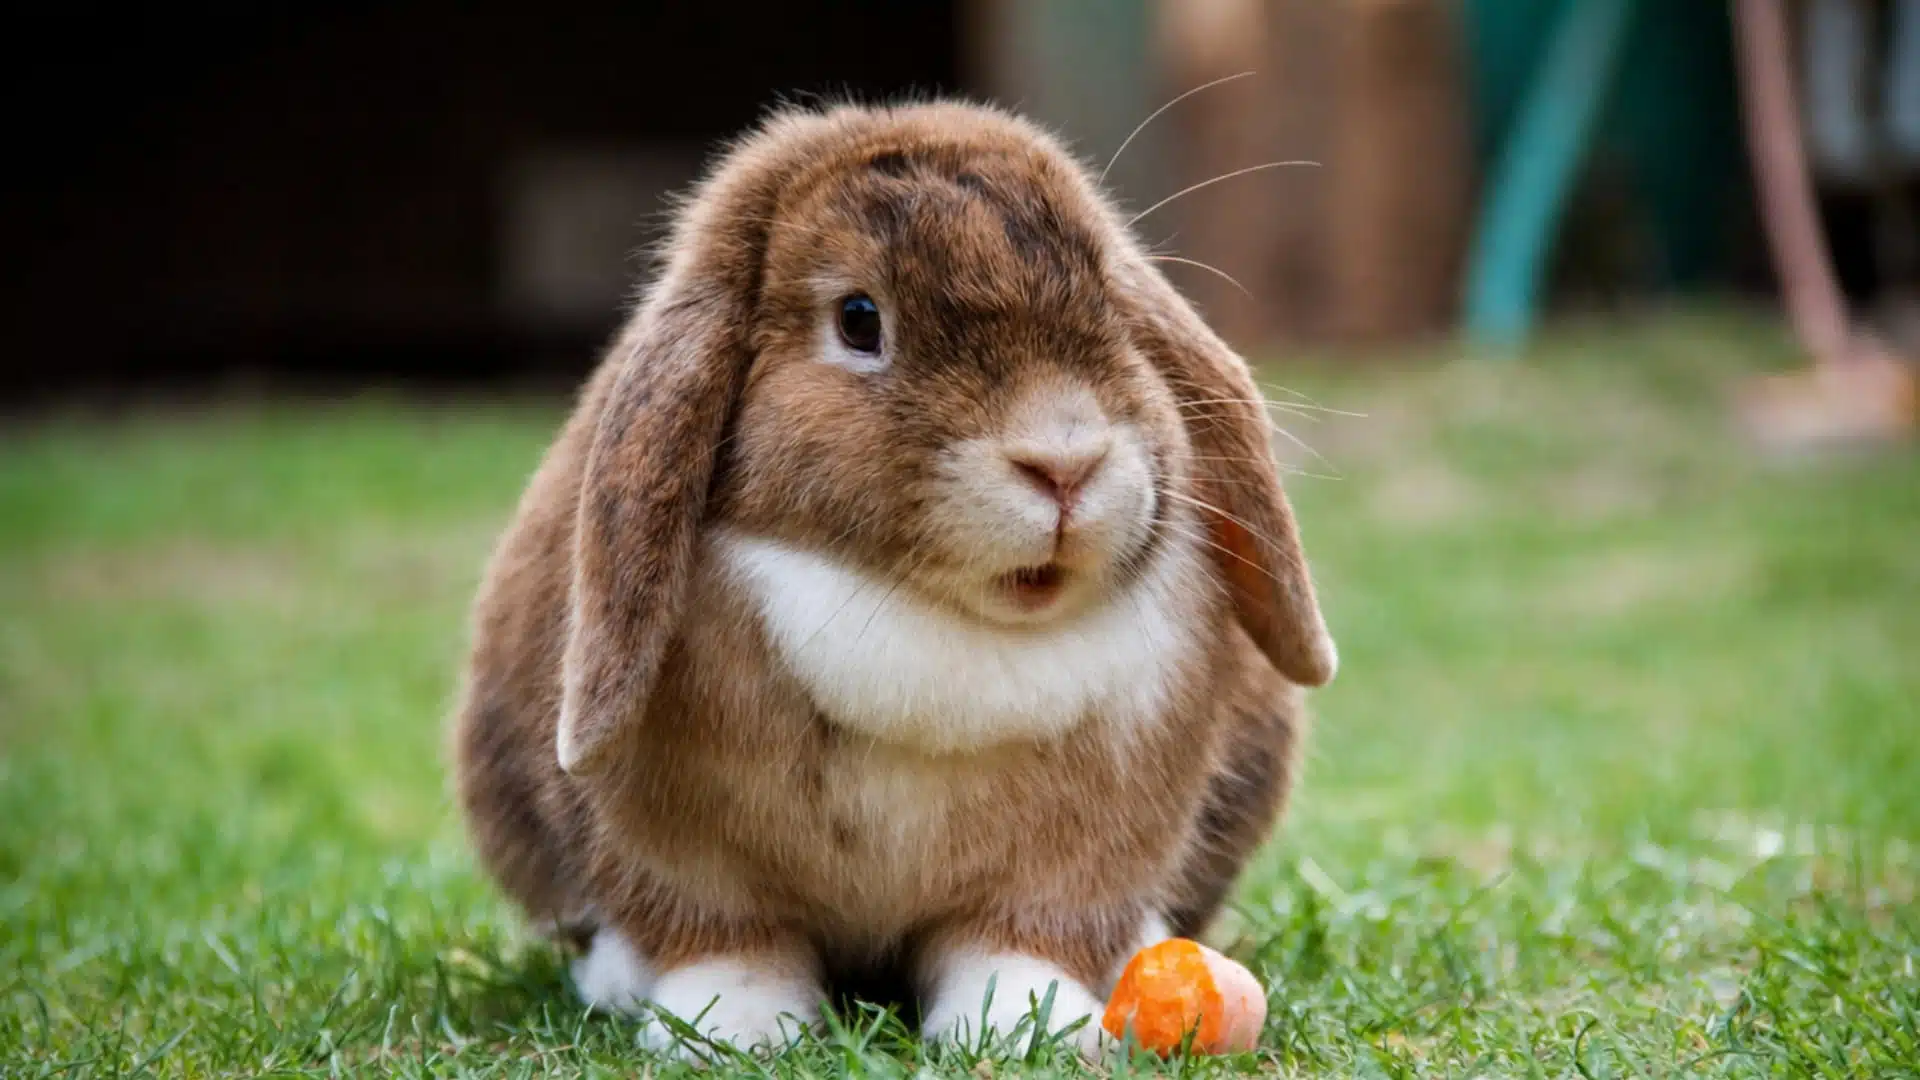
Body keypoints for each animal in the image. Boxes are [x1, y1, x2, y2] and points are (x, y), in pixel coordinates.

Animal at [451, 99, 1337, 1061]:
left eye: (1108, 297)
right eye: (858, 319)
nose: (1065, 462)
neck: (933, 617)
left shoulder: (1078, 858)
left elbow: (1020, 940)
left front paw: (1025, 1026)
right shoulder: (679, 853)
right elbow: (726, 939)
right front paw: (731, 1030)